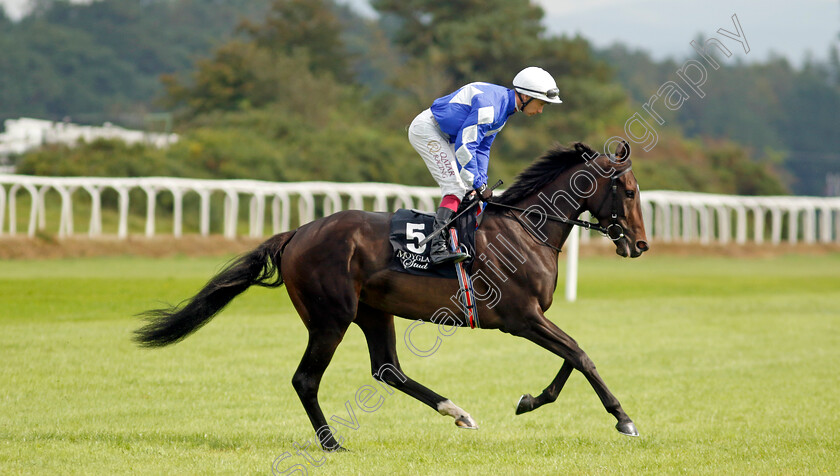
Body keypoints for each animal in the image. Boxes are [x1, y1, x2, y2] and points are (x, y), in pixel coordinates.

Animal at [136, 140, 648, 450]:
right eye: (626, 190)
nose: (640, 244)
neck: (526, 231)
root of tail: (297, 233)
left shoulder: (532, 318)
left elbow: (573, 355)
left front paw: (531, 400)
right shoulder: (522, 318)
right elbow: (579, 354)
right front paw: (623, 418)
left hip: (373, 312)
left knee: (388, 369)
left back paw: (456, 411)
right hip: (331, 317)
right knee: (306, 379)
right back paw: (331, 443)